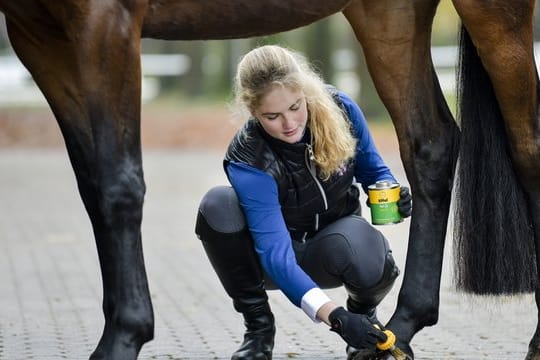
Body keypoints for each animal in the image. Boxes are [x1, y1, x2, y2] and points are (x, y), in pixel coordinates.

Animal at [0, 0, 536, 358]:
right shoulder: (39, 35)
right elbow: (94, 184)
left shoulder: (105, 22)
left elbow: (118, 186)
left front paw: (124, 336)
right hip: (390, 17)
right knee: (430, 145)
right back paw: (395, 331)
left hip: (494, 13)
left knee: (527, 147)